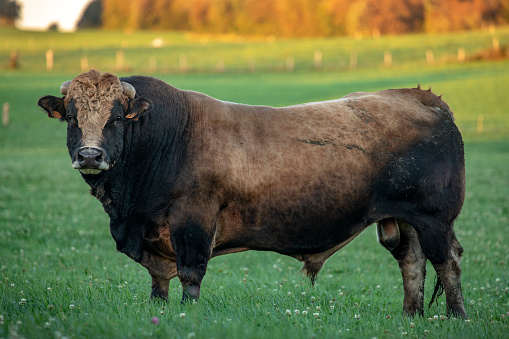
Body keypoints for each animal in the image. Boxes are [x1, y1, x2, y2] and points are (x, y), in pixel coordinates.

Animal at [37, 70, 466, 320]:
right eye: (72, 117)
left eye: (115, 118)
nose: (90, 155)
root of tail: (418, 96)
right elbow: (159, 280)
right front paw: (157, 311)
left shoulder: (192, 221)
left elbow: (190, 274)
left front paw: (186, 315)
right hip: (402, 220)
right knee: (411, 261)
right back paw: (411, 315)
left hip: (434, 218)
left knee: (446, 261)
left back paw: (456, 316)